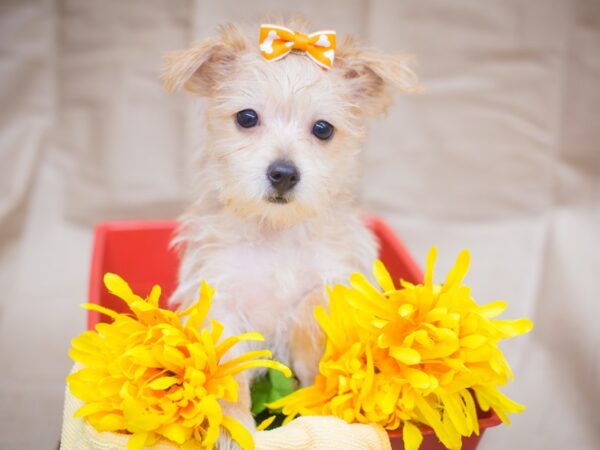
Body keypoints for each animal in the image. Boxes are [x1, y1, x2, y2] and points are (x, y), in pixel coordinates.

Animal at [162, 19, 420, 448]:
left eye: (323, 129)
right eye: (247, 118)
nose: (283, 174)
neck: (276, 233)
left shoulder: (331, 286)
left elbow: (314, 332)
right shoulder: (222, 303)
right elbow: (230, 376)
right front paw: (234, 431)